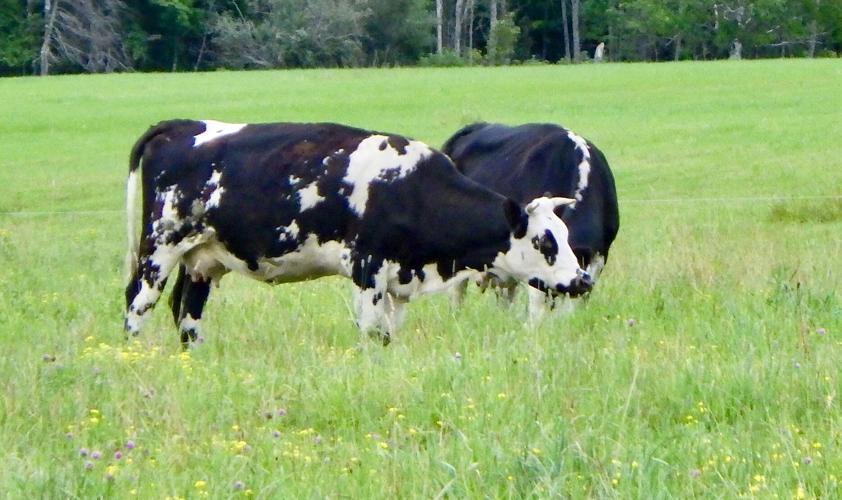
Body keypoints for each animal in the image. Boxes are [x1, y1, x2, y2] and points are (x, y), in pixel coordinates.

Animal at [124, 119, 594, 345]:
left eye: (567, 237)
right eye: (545, 242)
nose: (582, 280)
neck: (408, 187)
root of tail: (181, 124)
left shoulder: (398, 280)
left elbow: (389, 333)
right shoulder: (368, 269)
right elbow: (372, 332)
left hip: (202, 258)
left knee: (187, 312)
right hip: (159, 248)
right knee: (138, 303)